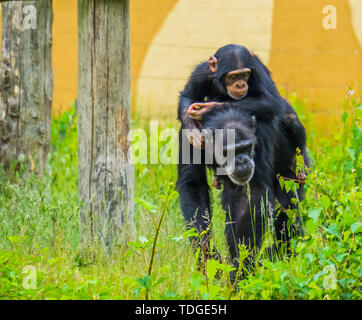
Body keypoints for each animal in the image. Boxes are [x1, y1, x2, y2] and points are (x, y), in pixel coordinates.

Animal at [177, 44, 310, 264]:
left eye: (246, 148)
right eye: (227, 152)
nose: (240, 161)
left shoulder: (260, 133)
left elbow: (251, 197)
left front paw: (241, 266)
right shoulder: (190, 138)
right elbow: (193, 184)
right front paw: (208, 257)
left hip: (297, 165)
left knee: (288, 208)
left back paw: (281, 251)